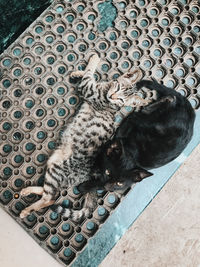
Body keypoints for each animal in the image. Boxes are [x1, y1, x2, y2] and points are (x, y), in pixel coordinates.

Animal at [19, 53, 153, 221]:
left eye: (121, 99)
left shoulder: (88, 88)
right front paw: (77, 73)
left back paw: (27, 210)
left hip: (56, 170)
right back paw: (28, 191)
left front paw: (94, 58)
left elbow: (90, 72)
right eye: (118, 89)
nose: (112, 96)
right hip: (53, 164)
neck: (107, 93)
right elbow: (88, 75)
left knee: (50, 198)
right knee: (49, 191)